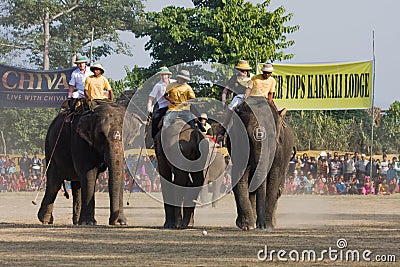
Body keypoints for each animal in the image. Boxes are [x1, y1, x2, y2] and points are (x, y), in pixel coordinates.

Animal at [227, 97, 296, 232]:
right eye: (247, 136)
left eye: (272, 136)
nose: (262, 226)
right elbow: (239, 175)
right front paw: (247, 226)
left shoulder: (279, 150)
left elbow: (274, 178)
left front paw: (267, 226)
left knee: (279, 188)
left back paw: (272, 223)